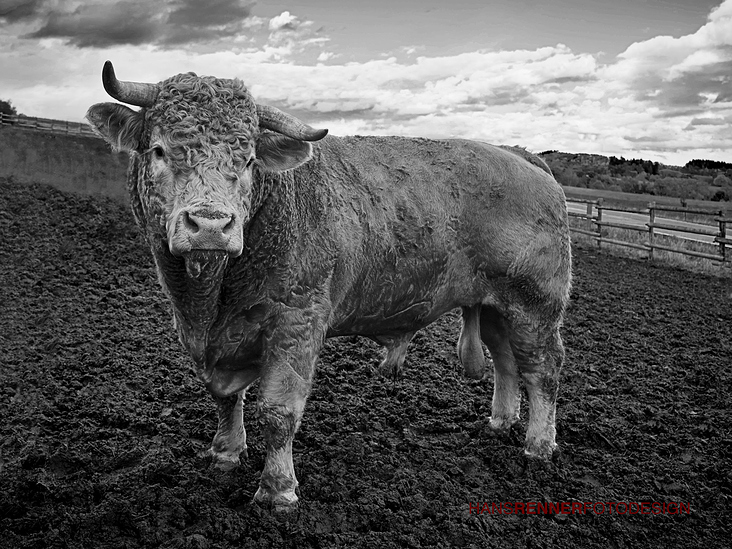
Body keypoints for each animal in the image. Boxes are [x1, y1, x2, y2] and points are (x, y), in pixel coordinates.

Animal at [86, 62, 576, 512]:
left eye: (248, 160)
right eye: (158, 149)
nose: (210, 224)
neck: (210, 301)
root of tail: (521, 155)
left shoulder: (297, 321)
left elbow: (279, 412)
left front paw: (278, 491)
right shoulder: (215, 339)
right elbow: (225, 397)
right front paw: (225, 452)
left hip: (535, 304)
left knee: (543, 370)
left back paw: (537, 447)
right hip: (494, 305)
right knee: (507, 361)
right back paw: (499, 422)